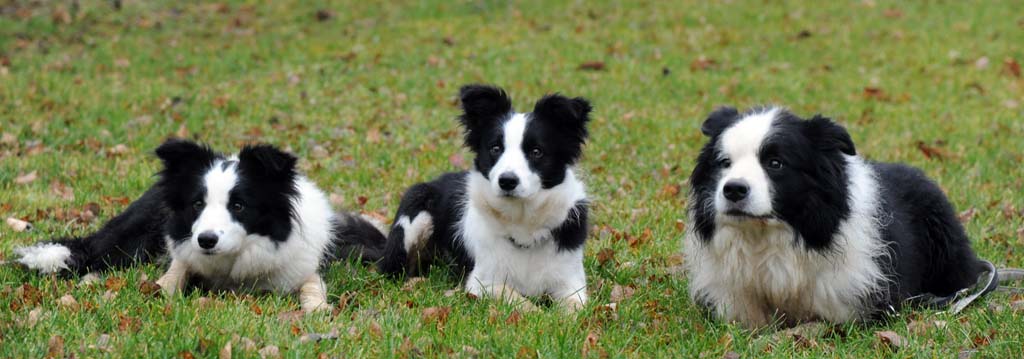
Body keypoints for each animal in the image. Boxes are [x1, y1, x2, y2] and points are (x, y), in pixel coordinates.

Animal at [16, 139, 385, 312]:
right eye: (198, 204)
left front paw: (317, 309)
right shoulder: (183, 248)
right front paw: (160, 289)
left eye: (238, 205)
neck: (233, 264)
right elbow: (174, 272)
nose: (206, 240)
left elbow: (312, 286)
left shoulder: (302, 265)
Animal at [378, 84, 593, 312]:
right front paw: (538, 313)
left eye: (537, 152)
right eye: (495, 148)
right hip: (415, 213)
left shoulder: (571, 283)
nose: (507, 181)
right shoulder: (481, 282)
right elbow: (515, 298)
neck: (522, 223)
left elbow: (573, 308)